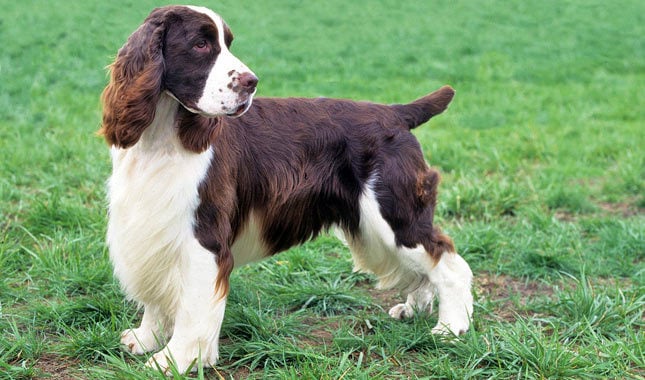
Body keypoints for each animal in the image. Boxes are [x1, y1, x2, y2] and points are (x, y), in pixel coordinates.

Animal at [100, 5, 472, 374]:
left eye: (227, 43)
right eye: (201, 44)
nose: (251, 82)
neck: (163, 136)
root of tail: (397, 113)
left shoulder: (203, 236)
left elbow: (192, 307)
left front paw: (174, 359)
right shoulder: (152, 223)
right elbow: (156, 290)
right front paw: (146, 338)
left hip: (392, 213)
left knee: (448, 261)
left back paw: (450, 328)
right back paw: (414, 308)